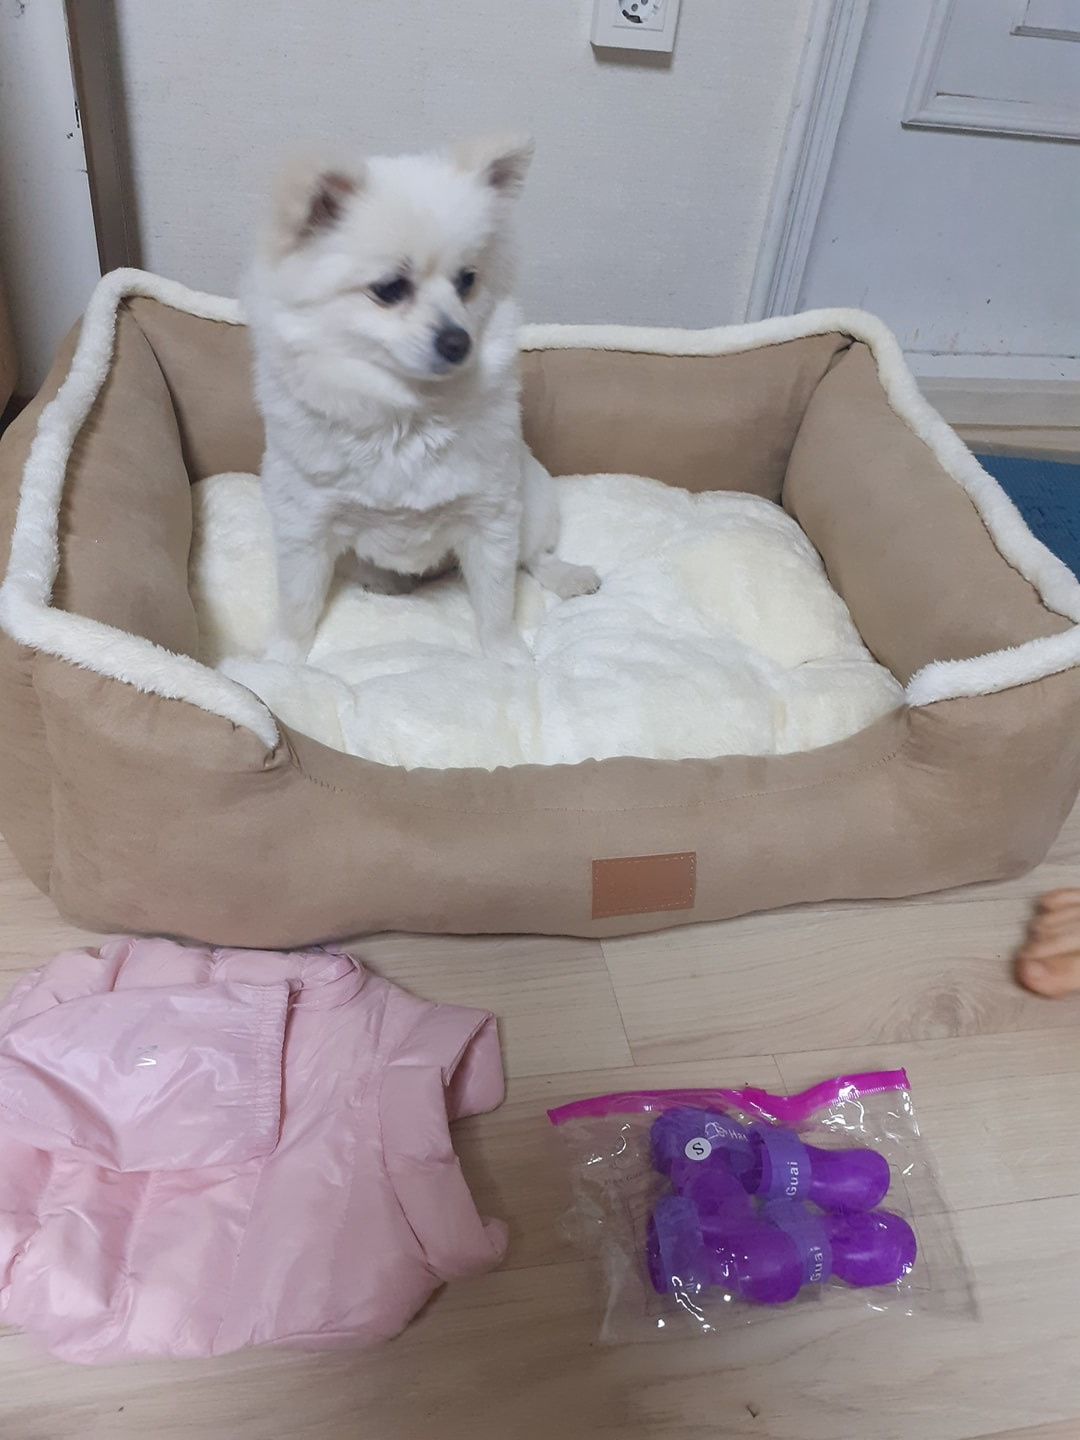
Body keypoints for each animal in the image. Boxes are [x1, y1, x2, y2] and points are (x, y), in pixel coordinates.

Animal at [244, 134, 599, 665]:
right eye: (390, 289)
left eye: (467, 281)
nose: (459, 341)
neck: (407, 412)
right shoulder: (304, 523)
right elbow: (298, 605)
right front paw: (283, 662)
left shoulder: (492, 516)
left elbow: (497, 600)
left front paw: (507, 658)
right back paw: (384, 580)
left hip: (534, 500)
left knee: (535, 556)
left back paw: (568, 575)